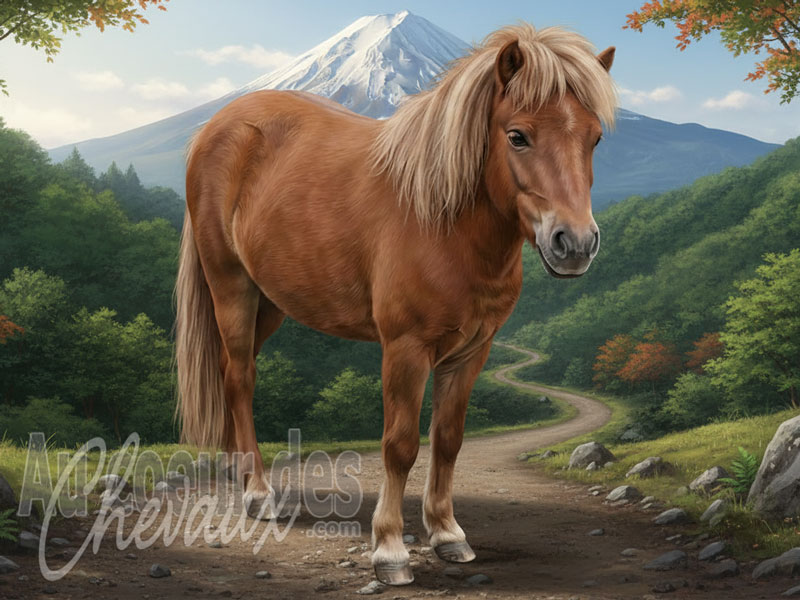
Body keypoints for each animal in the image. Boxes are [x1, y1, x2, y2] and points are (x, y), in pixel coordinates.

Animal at [175, 23, 617, 586]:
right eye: (517, 135)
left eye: (594, 138)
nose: (575, 244)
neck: (441, 221)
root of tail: (218, 125)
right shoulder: (406, 349)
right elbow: (400, 444)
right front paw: (389, 550)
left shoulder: (472, 352)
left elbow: (447, 438)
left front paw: (449, 535)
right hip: (232, 286)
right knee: (239, 379)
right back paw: (258, 494)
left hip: (270, 301)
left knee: (237, 373)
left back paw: (241, 476)